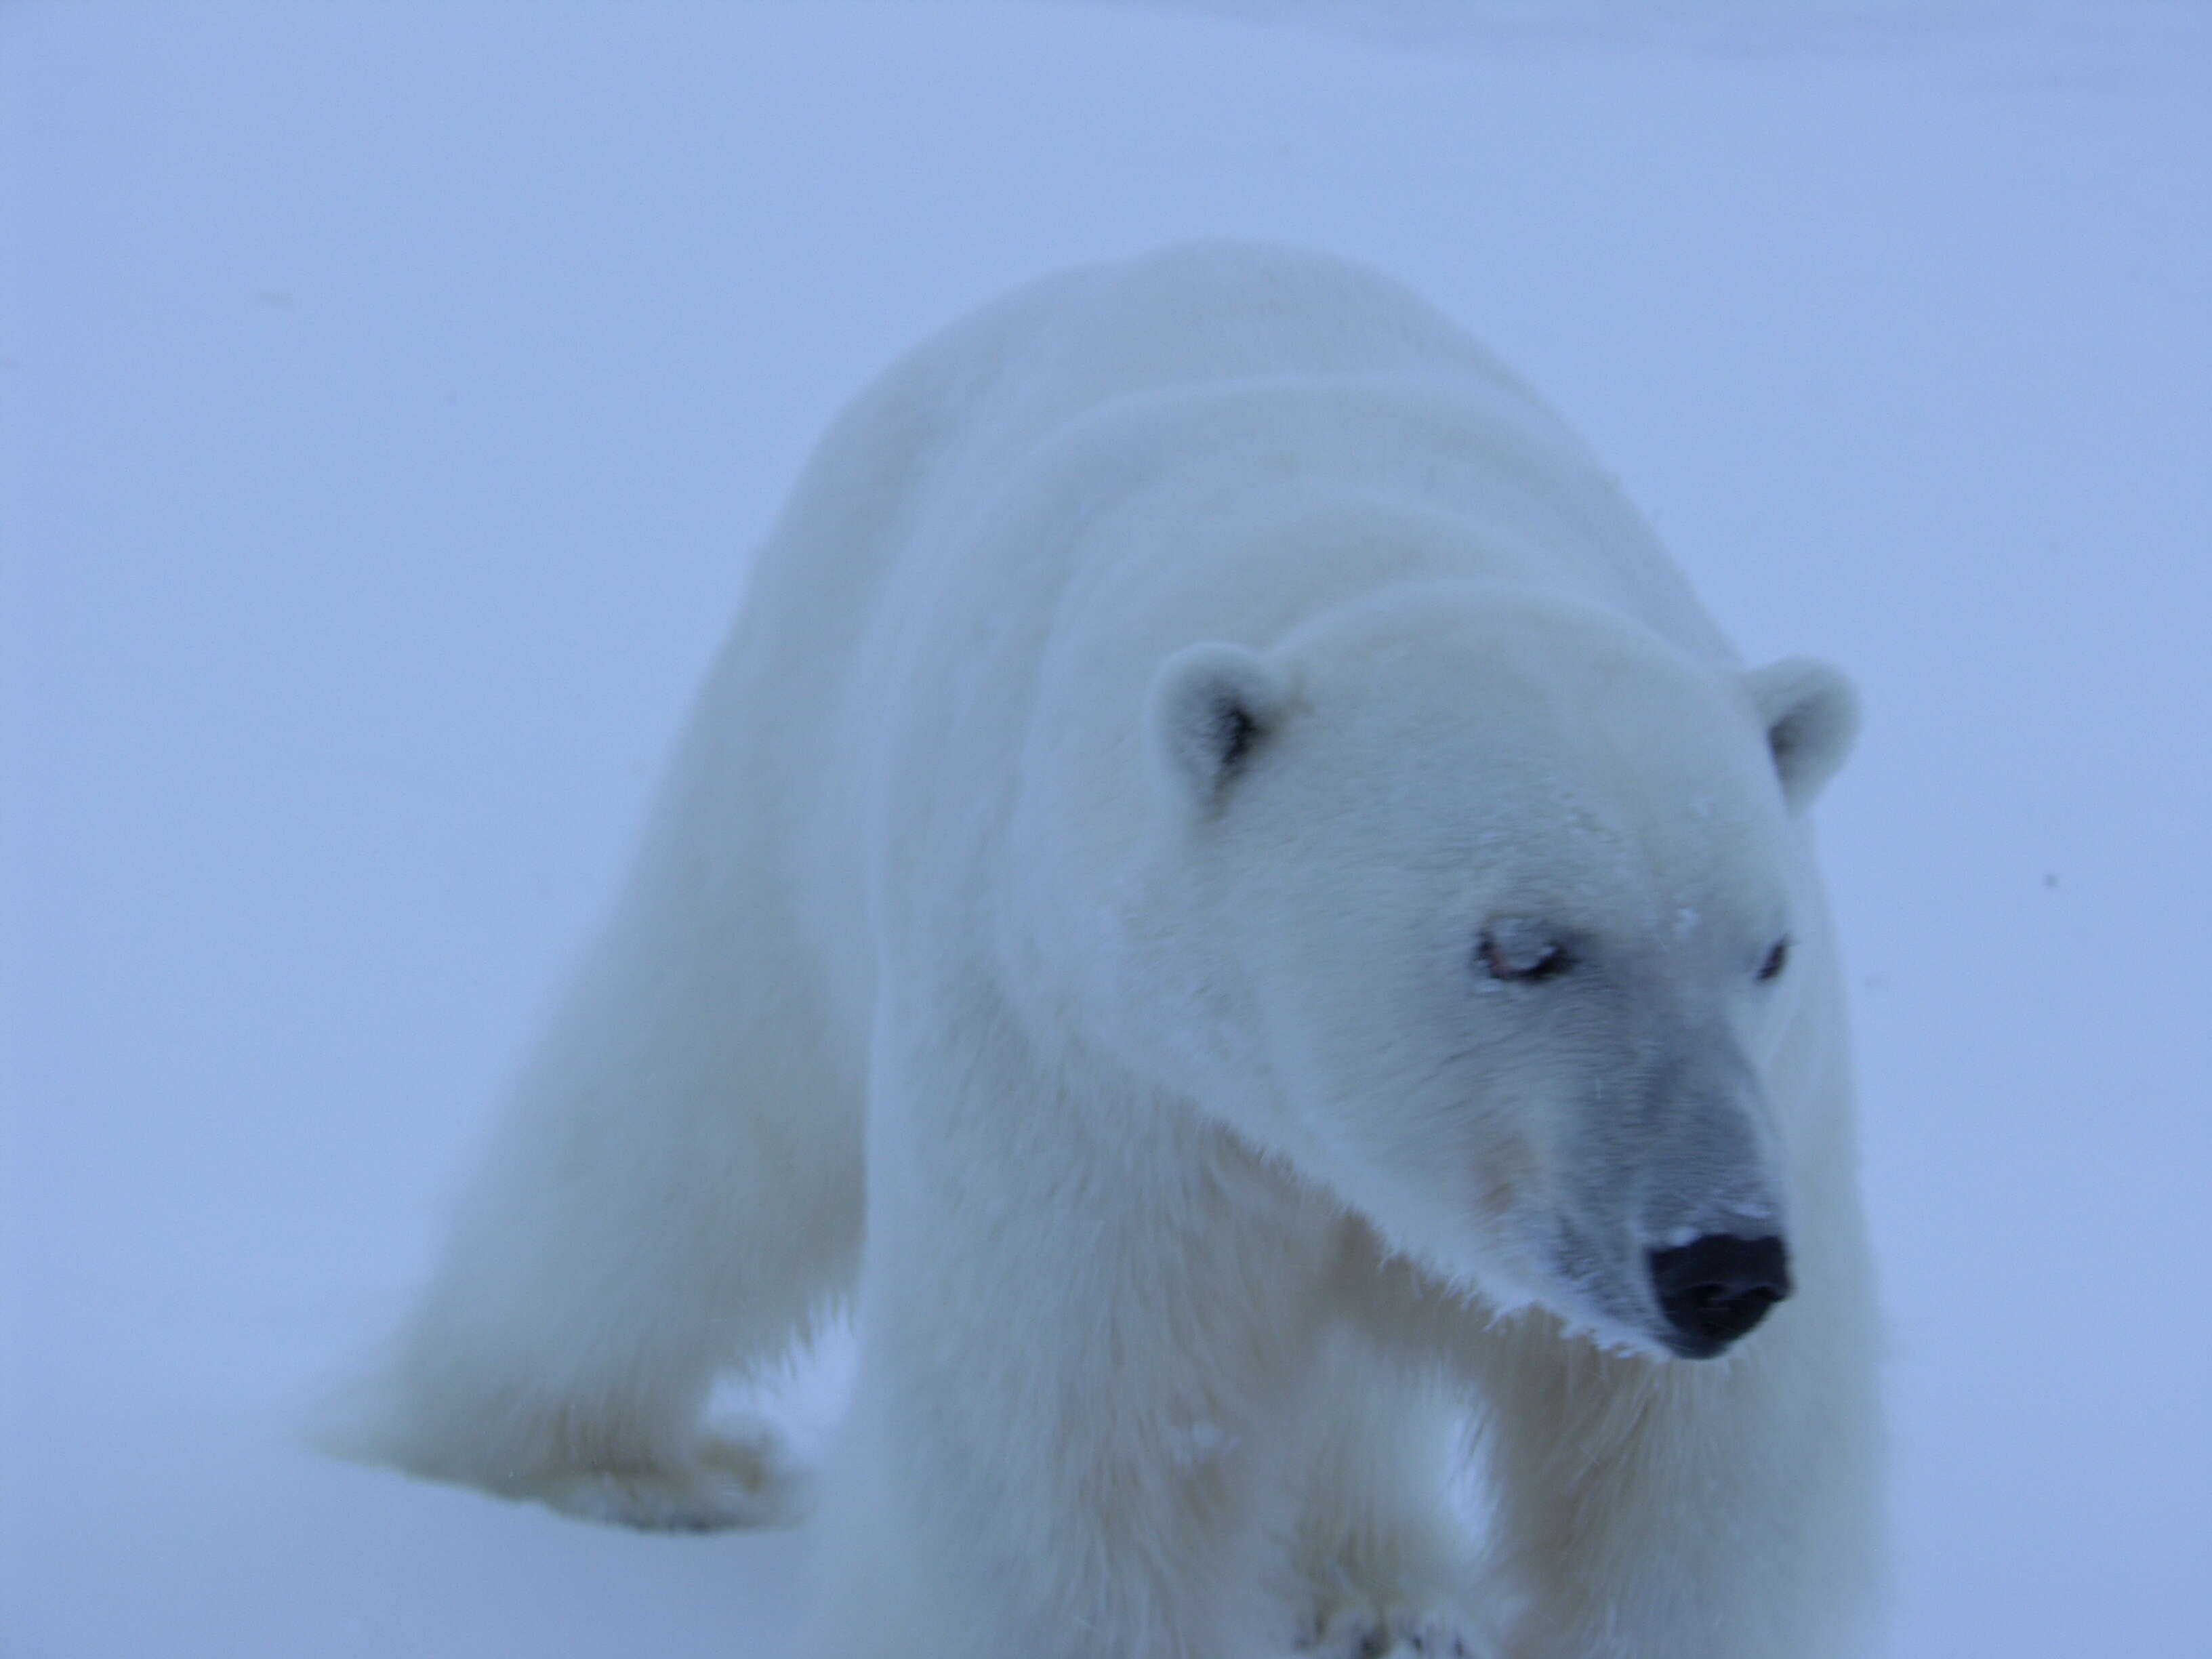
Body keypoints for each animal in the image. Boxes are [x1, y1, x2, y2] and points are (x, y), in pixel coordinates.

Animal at [340, 240, 1884, 1654]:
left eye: (1766, 951)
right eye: (1520, 946)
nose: (1720, 1260)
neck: (1365, 542)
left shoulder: (1774, 1115)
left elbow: (1690, 1483)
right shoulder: (1093, 1082)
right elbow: (1082, 1461)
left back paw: (1374, 1592)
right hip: (790, 756)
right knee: (687, 1140)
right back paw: (591, 1461)